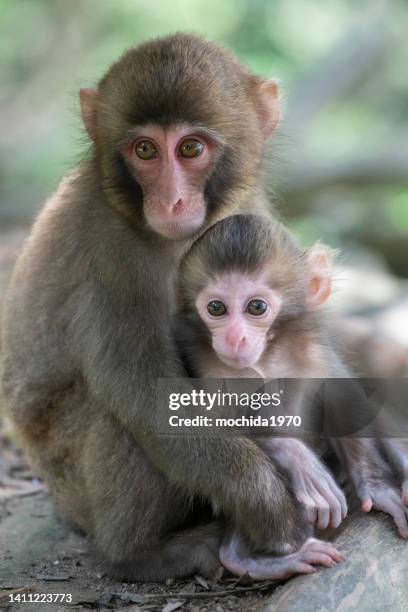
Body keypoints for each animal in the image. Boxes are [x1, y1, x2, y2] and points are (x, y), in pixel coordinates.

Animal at [175, 215, 348, 580]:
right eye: (216, 308)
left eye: (256, 307)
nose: (235, 338)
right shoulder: (201, 360)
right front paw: (296, 456)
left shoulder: (313, 349)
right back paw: (251, 558)